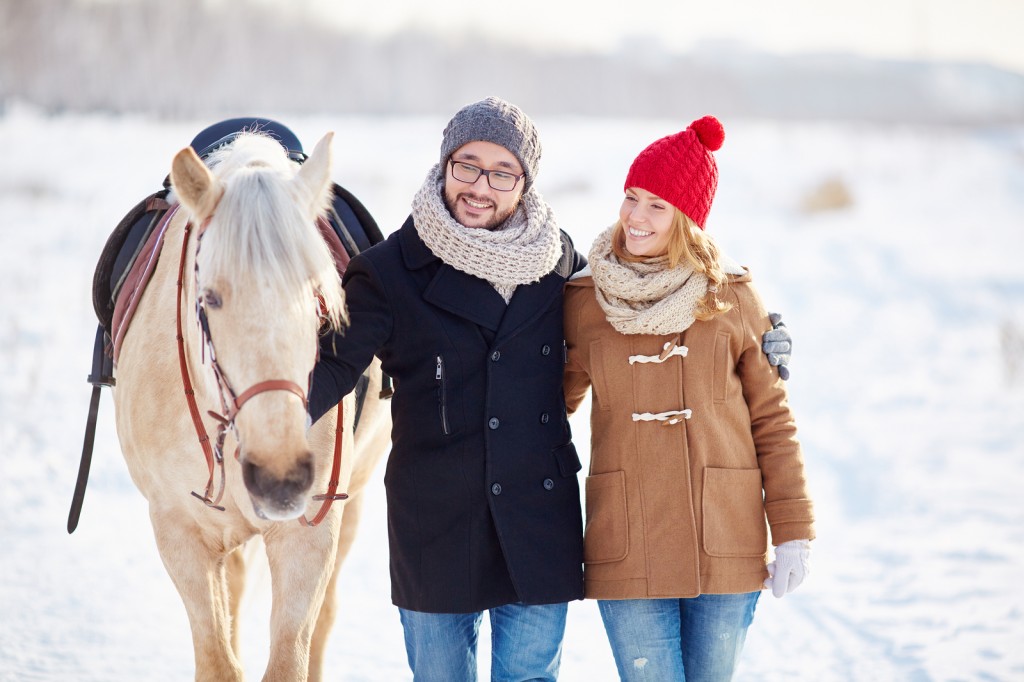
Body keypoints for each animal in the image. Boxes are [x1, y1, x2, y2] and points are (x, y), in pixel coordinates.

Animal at [111, 130, 391, 675]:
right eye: (210, 298)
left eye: (317, 292)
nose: (280, 476)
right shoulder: (179, 532)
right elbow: (218, 661)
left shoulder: (310, 536)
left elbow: (290, 660)